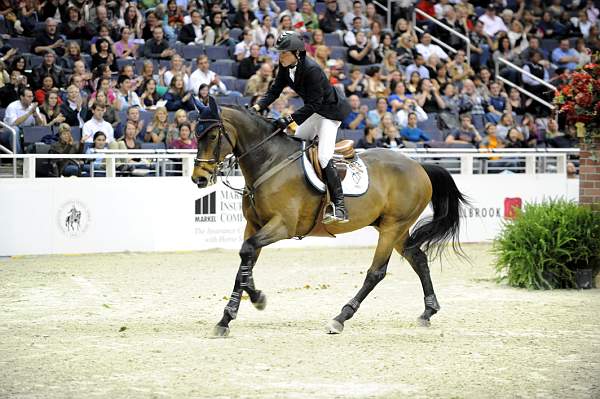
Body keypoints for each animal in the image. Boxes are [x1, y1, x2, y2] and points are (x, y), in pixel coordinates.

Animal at [193, 104, 468, 338]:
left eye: (213, 136)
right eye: (197, 135)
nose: (199, 178)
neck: (270, 161)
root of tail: (419, 166)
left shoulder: (282, 226)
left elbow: (246, 253)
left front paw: (256, 299)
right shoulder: (254, 226)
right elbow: (244, 261)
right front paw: (229, 317)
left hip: (392, 227)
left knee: (376, 272)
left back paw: (340, 318)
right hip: (396, 229)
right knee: (418, 259)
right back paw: (428, 311)